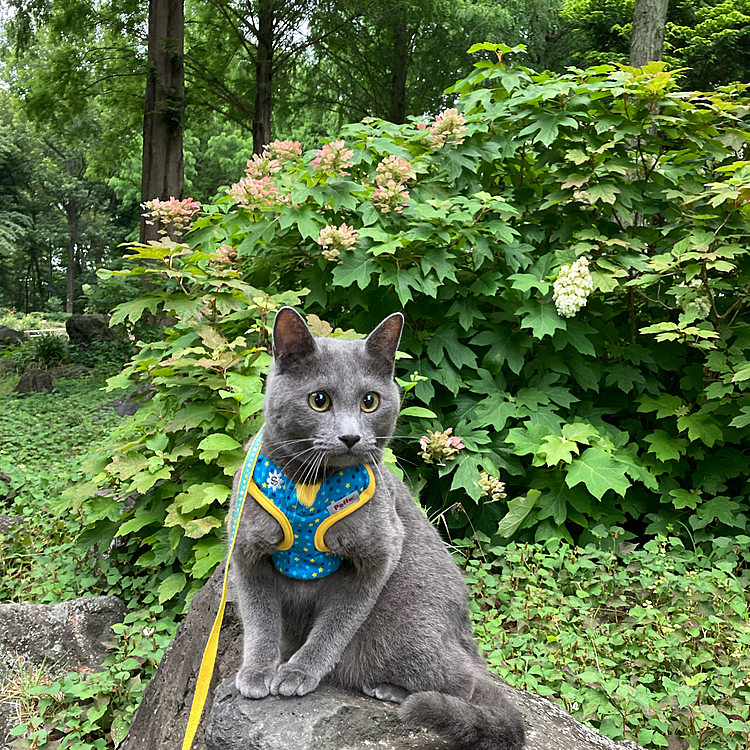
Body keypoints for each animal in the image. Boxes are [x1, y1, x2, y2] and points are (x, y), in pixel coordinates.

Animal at [229, 308, 528, 748]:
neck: (308, 486)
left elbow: (337, 623)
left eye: (369, 401)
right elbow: (260, 619)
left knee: (466, 684)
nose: (351, 436)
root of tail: (466, 637)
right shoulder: (247, 553)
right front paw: (257, 673)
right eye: (319, 400)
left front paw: (299, 673)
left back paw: (391, 690)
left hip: (406, 626)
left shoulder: (381, 551)